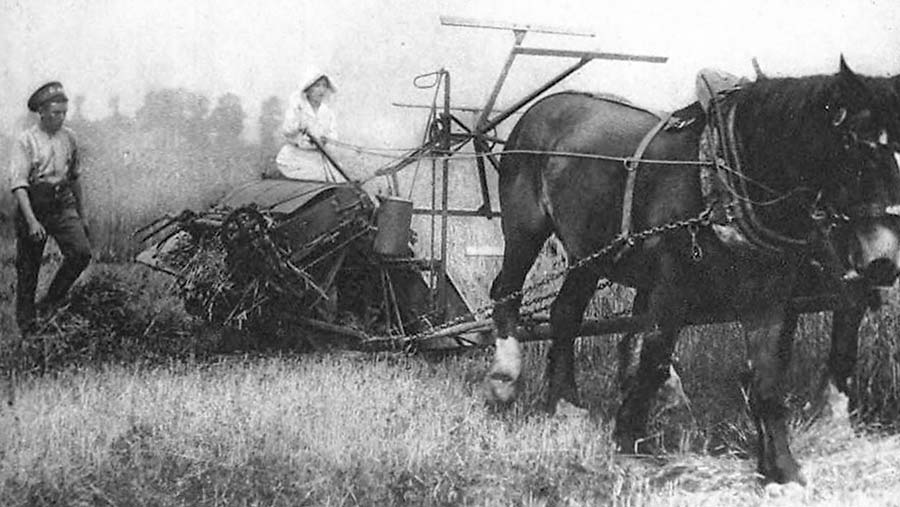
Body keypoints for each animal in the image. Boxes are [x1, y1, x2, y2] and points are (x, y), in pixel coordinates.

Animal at [488, 61, 900, 486]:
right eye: (851, 143)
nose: (883, 257)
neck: (725, 177)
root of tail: (545, 106)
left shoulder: (771, 295)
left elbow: (768, 379)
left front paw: (781, 471)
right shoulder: (671, 287)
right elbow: (652, 359)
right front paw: (629, 442)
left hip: (588, 252)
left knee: (565, 313)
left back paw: (565, 404)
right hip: (524, 229)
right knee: (506, 293)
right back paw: (505, 379)